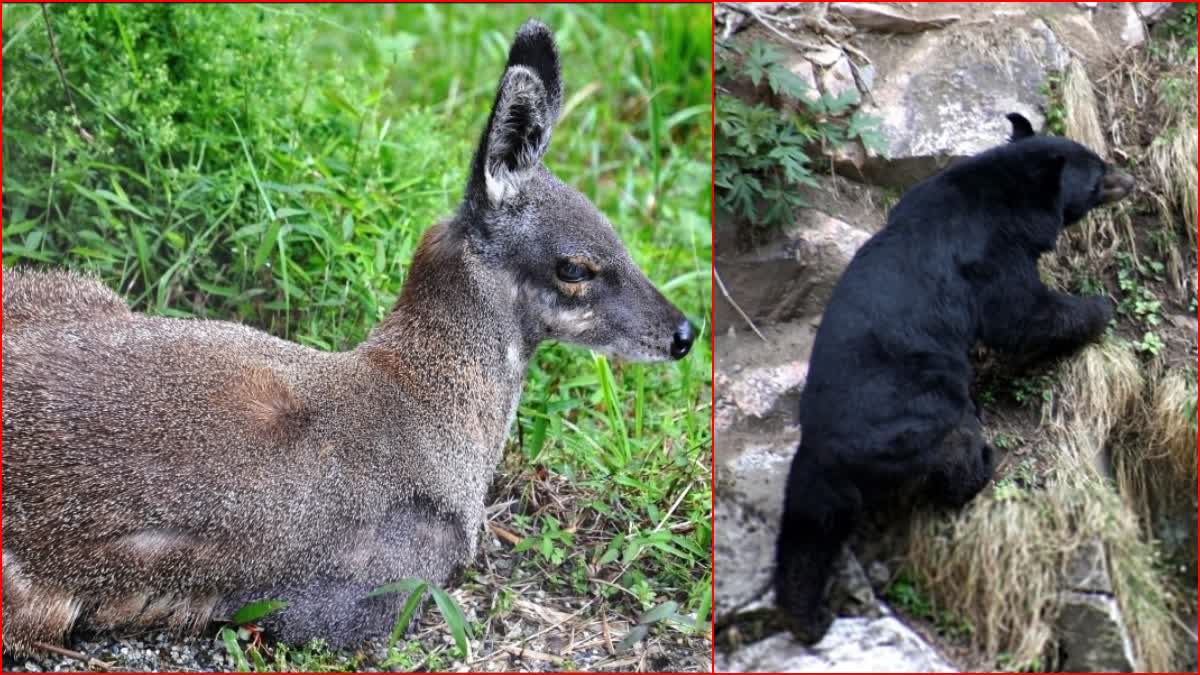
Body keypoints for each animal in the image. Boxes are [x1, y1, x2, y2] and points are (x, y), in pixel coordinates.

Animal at [777, 111, 1132, 638]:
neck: (1004, 192)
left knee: (807, 532)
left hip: (815, 484)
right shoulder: (989, 256)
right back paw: (983, 462)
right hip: (924, 421)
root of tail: (831, 457)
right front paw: (1099, 308)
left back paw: (805, 615)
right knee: (957, 451)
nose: (1129, 180)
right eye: (1097, 173)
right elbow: (1020, 313)